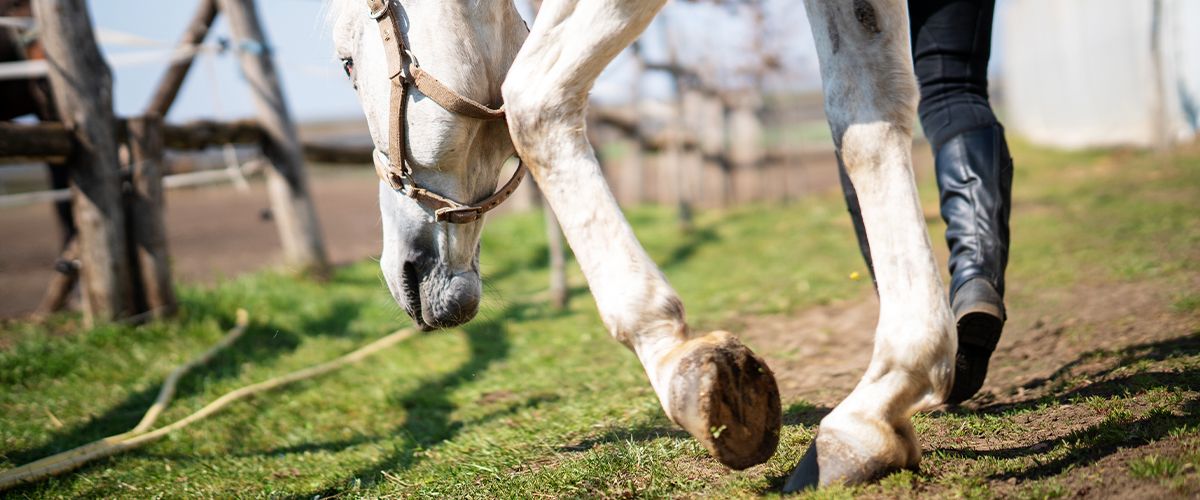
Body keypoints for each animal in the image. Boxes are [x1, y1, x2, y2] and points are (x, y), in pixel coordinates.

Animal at [327, 0, 954, 489]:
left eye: (347, 63)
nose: (400, 274)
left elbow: (533, 100)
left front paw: (677, 359)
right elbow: (865, 112)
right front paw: (882, 403)